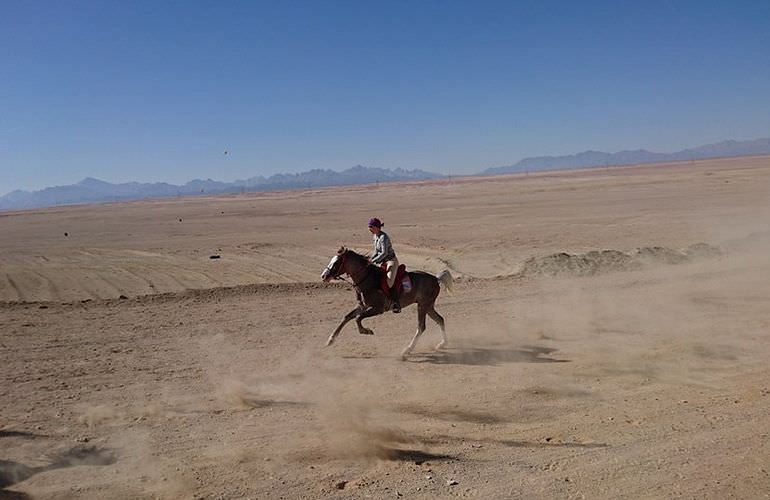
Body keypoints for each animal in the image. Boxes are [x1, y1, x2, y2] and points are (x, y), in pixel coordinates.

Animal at [318, 246, 450, 360]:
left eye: (336, 263)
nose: (323, 276)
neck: (367, 279)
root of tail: (436, 278)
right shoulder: (362, 306)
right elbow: (347, 317)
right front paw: (330, 340)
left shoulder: (378, 309)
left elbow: (358, 318)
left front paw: (366, 331)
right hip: (428, 306)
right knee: (440, 319)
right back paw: (442, 344)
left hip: (422, 306)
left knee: (421, 327)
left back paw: (406, 350)